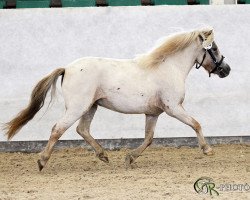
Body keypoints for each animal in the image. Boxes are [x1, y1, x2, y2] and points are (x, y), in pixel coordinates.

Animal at [3, 27, 230, 170]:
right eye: (214, 48)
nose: (226, 70)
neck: (169, 67)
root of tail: (67, 68)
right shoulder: (173, 107)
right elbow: (196, 124)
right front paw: (207, 150)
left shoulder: (153, 113)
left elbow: (149, 138)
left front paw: (130, 158)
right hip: (78, 107)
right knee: (58, 129)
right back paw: (42, 161)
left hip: (90, 107)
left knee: (82, 129)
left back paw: (103, 155)